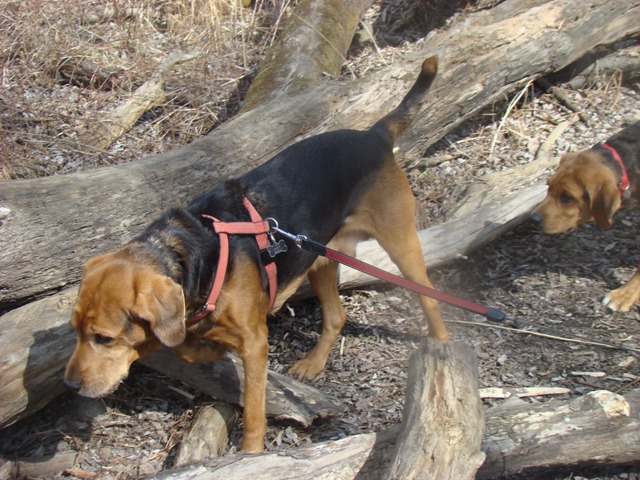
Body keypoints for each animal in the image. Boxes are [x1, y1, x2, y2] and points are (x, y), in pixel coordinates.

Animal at [62, 57, 448, 454]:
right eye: (75, 330)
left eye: (104, 338)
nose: (70, 386)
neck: (193, 252)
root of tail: (374, 135)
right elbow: (187, 346)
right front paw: (206, 347)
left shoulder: (255, 343)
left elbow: (252, 413)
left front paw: (250, 453)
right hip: (320, 258)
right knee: (336, 316)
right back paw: (312, 363)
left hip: (400, 243)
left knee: (431, 297)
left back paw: (442, 349)